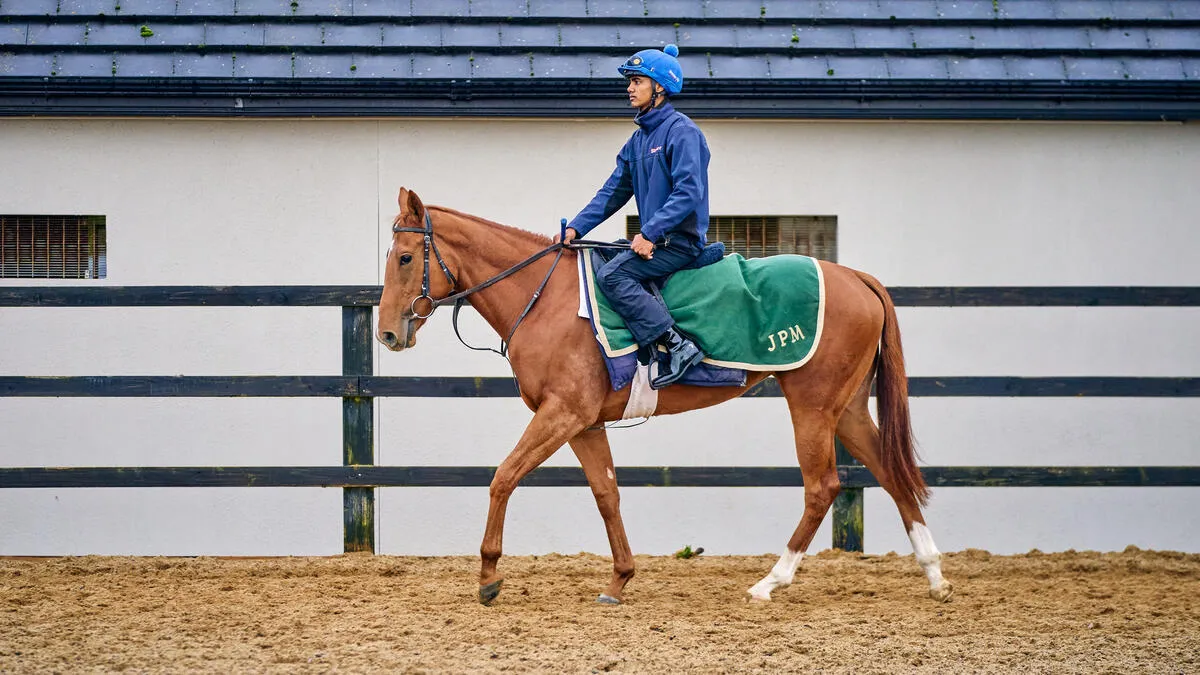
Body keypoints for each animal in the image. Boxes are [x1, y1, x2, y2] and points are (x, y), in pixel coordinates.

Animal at [377, 187, 954, 606]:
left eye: (404, 257)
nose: (387, 333)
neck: (544, 298)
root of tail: (854, 276)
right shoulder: (584, 423)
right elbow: (606, 494)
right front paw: (619, 580)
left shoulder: (562, 414)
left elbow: (504, 476)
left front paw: (489, 575)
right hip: (847, 409)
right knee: (890, 471)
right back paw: (934, 575)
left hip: (812, 406)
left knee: (822, 487)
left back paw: (770, 582)